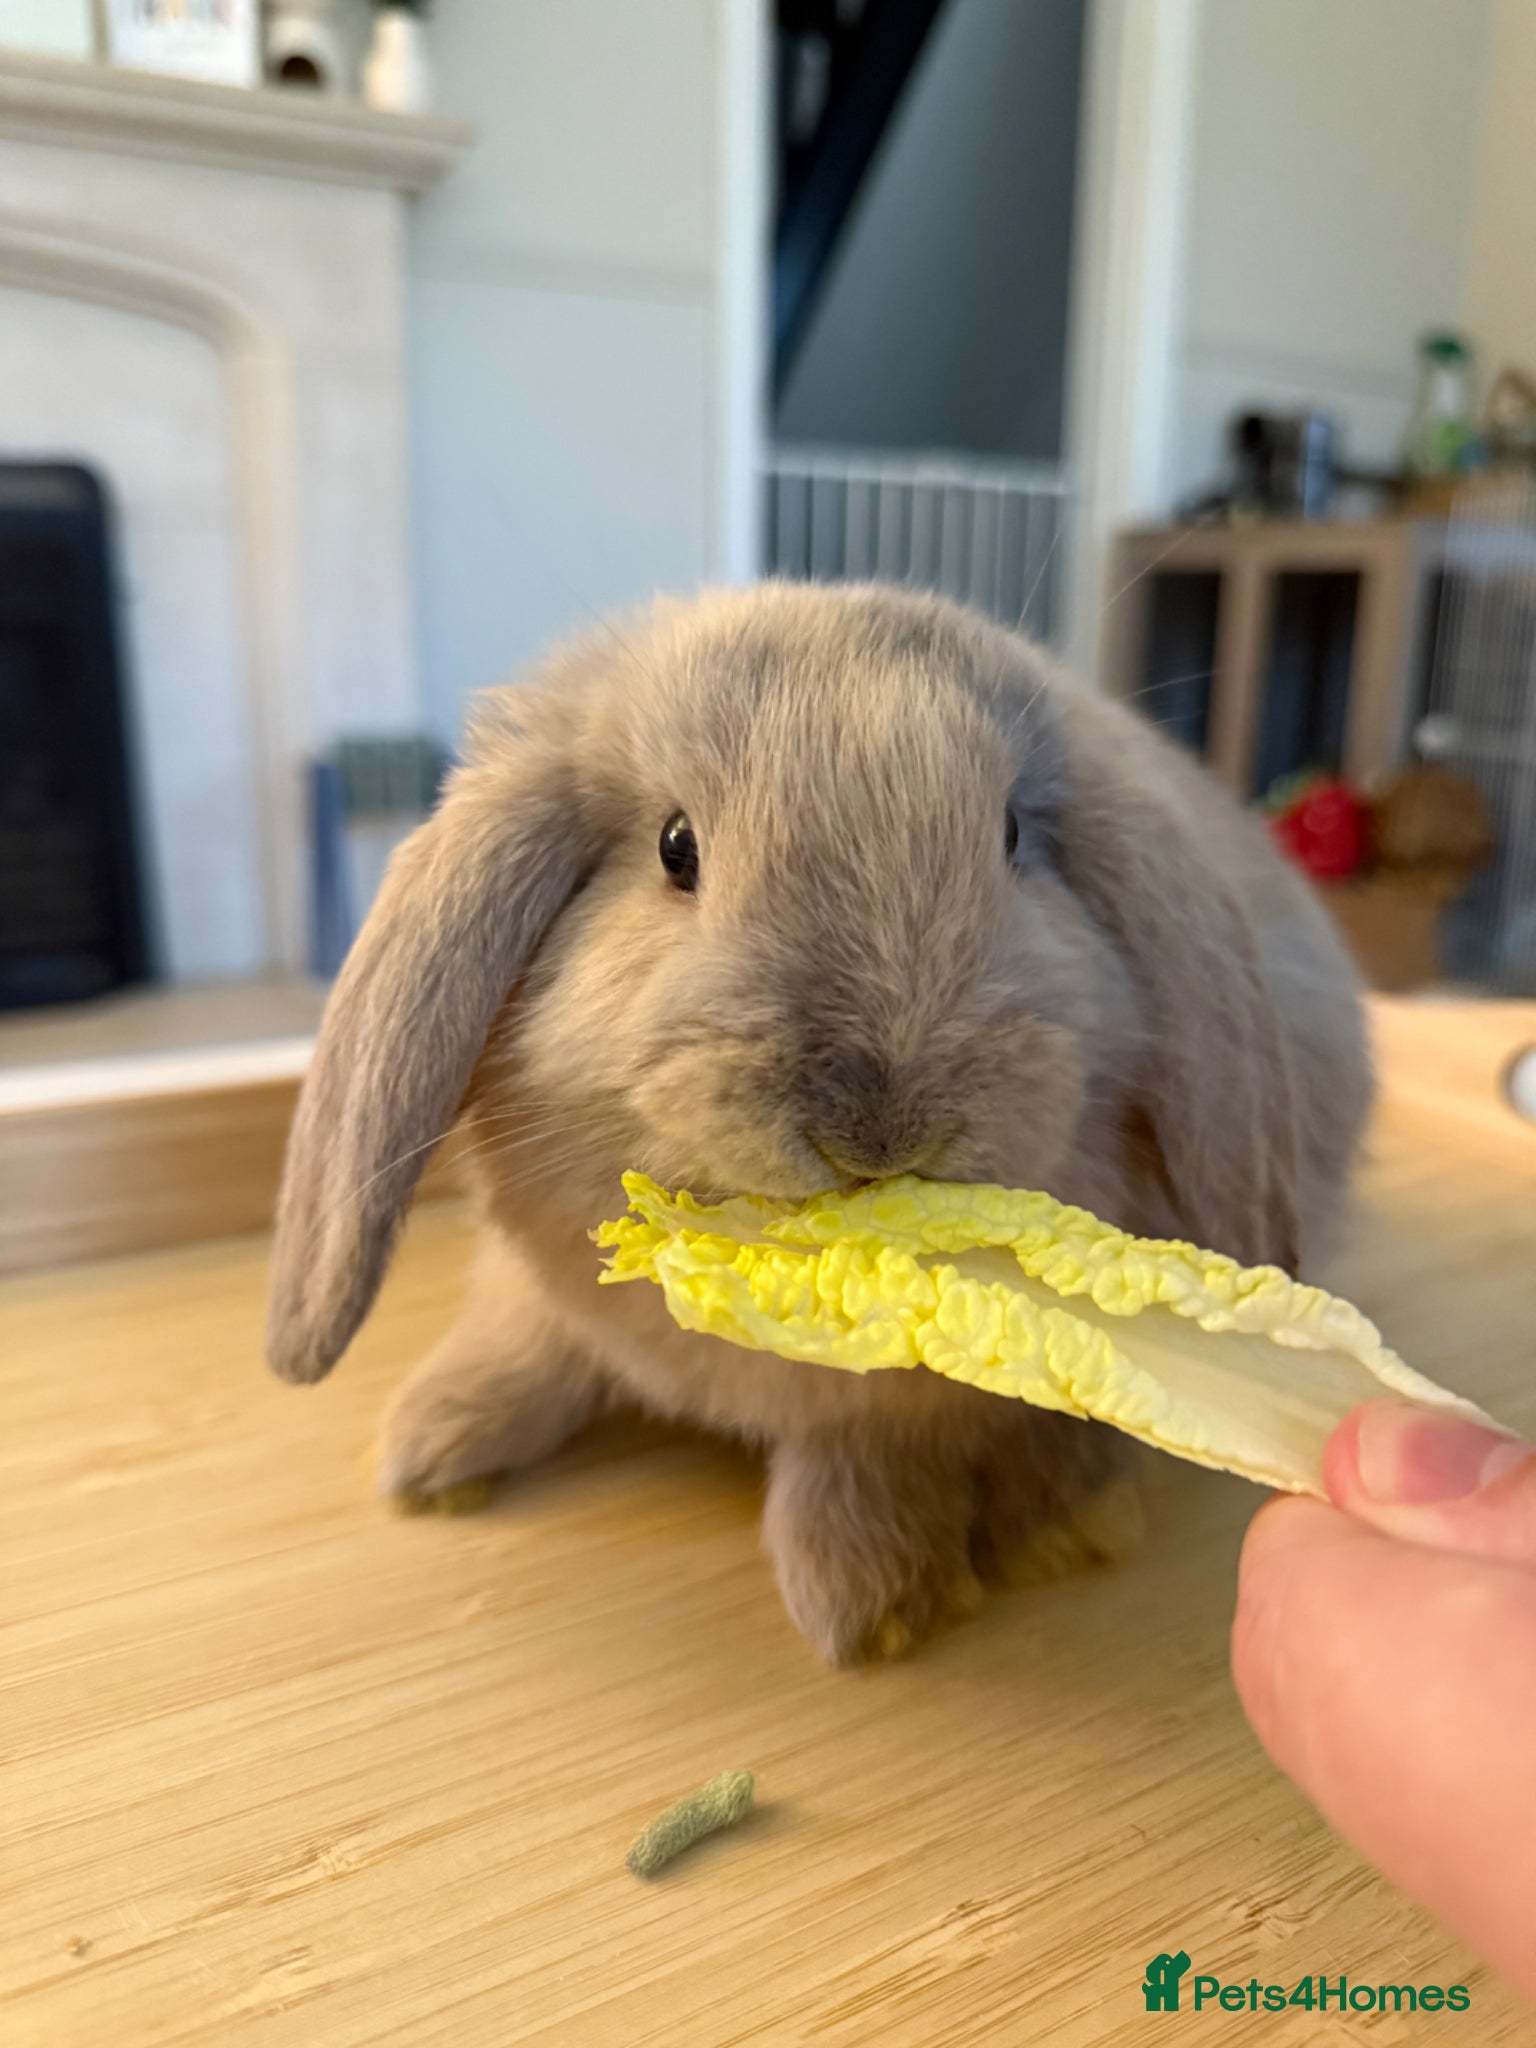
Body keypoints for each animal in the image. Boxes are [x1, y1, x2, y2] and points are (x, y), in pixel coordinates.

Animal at [267, 582, 1372, 1665]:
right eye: (676, 846)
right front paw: (431, 1450)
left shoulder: (906, 1402)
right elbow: (525, 1341)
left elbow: (865, 1455)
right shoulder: (539, 1290)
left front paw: (864, 1603)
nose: (880, 1134)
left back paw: (1061, 1518)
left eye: (1013, 837)